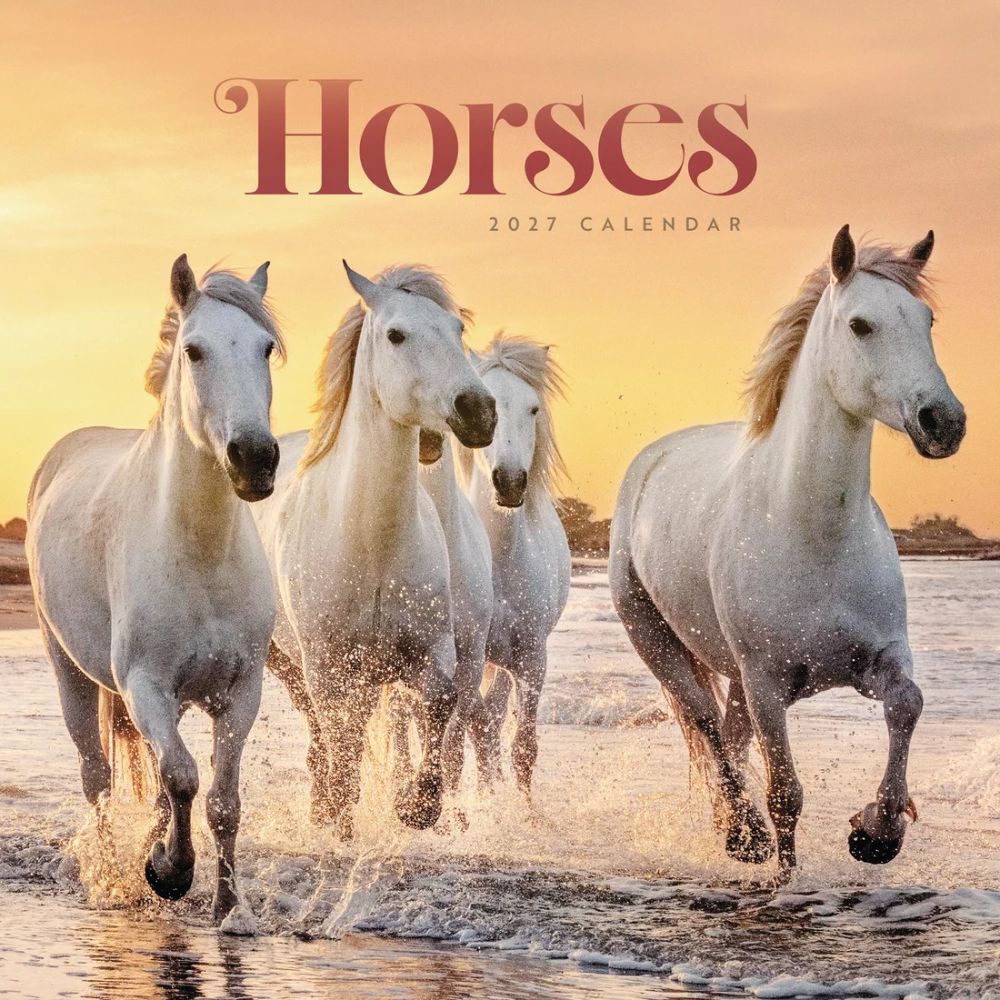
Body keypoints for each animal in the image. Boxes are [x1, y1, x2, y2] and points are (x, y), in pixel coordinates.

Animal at [26, 256, 284, 920]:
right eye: (194, 350)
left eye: (266, 348)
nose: (255, 458)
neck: (199, 553)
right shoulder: (144, 685)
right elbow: (184, 778)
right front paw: (169, 872)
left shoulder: (240, 692)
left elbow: (220, 799)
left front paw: (227, 908)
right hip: (70, 672)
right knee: (97, 777)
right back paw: (113, 876)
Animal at [252, 262, 496, 838]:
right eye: (396, 335)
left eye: (457, 330)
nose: (478, 411)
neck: (372, 545)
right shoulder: (327, 666)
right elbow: (341, 740)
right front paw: (342, 818)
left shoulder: (432, 652)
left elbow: (439, 705)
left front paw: (416, 806)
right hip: (289, 663)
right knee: (324, 735)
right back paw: (325, 811)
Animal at [610, 226, 965, 875]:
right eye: (860, 325)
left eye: (926, 319)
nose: (943, 422)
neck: (813, 535)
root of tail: (652, 459)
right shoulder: (768, 683)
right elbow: (785, 795)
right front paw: (786, 875)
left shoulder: (877, 660)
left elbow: (908, 704)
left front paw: (877, 832)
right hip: (658, 641)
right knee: (707, 724)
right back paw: (743, 833)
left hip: (735, 676)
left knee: (729, 734)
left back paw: (731, 830)